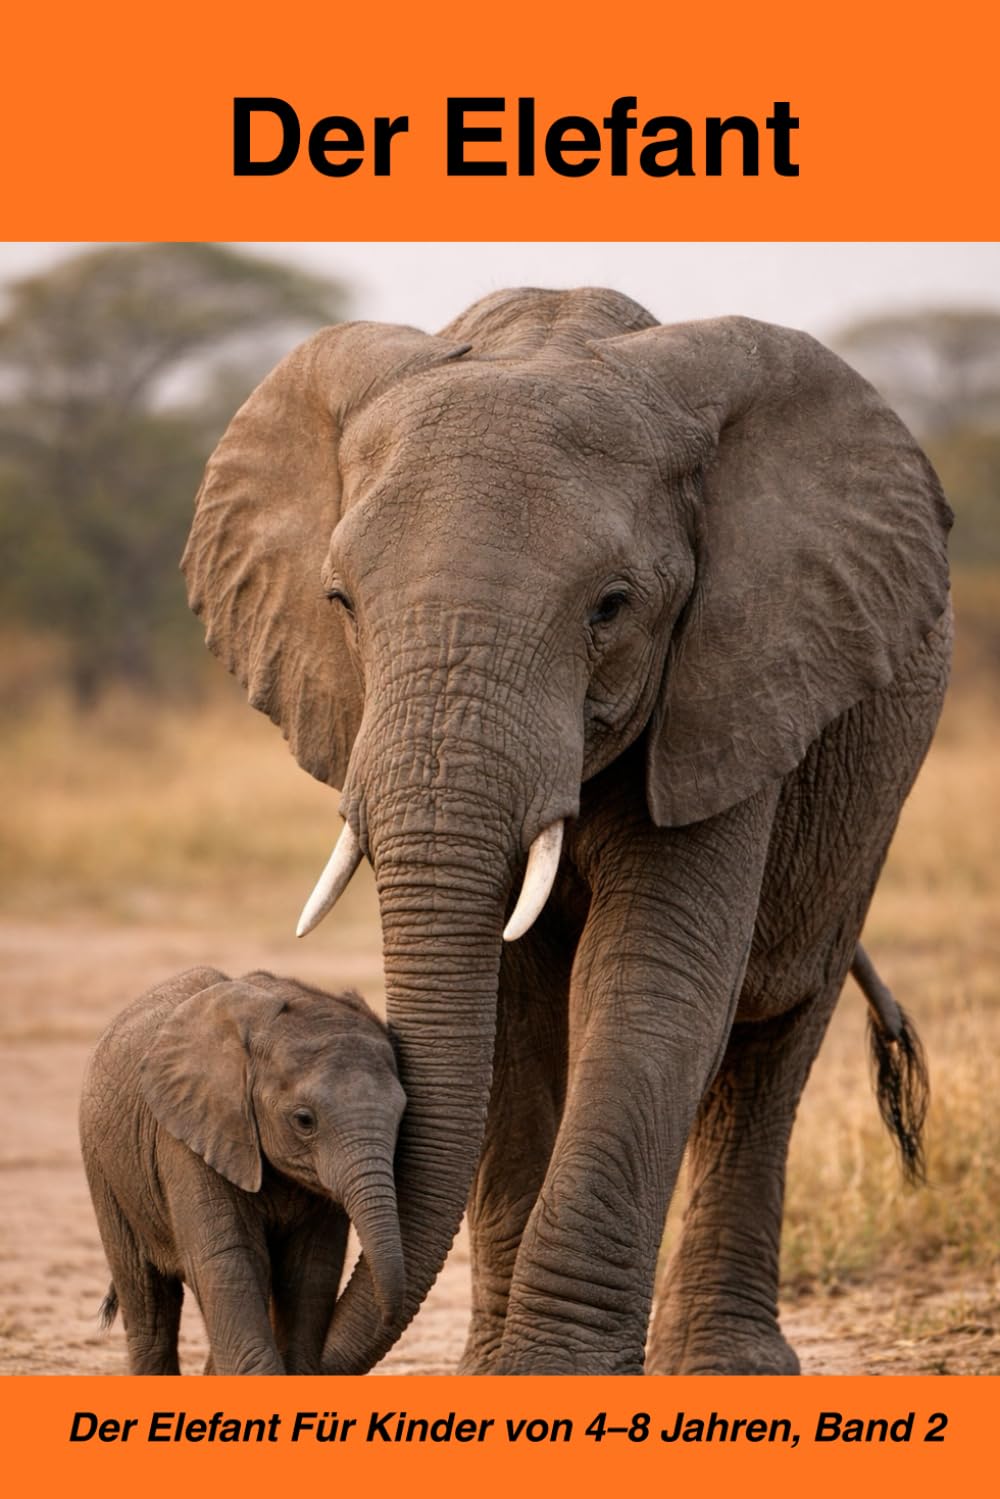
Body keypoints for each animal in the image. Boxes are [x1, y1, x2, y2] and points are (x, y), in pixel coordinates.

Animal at [79, 967, 405, 1374]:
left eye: (402, 1115)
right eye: (304, 1120)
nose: (389, 1315)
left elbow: (312, 1268)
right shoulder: (189, 1136)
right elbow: (229, 1260)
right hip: (104, 1168)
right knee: (147, 1303)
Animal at [182, 286, 951, 1375]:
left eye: (610, 607)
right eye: (340, 602)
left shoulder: (729, 687)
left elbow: (654, 976)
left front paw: (553, 1372)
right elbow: (509, 1006)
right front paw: (494, 1377)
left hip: (867, 785)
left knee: (774, 1027)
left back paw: (725, 1366)